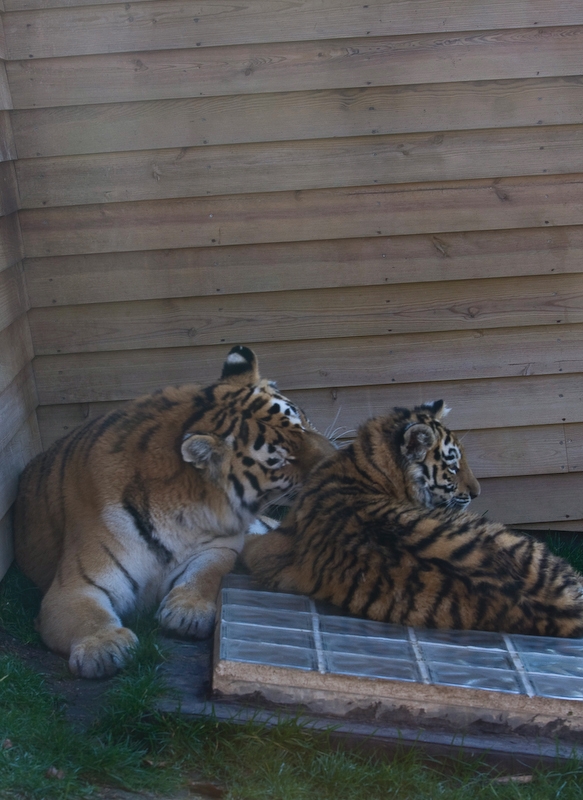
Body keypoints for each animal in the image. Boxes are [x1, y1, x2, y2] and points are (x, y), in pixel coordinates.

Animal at [14, 345, 335, 678]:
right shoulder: (73, 586)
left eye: (303, 422)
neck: (181, 512)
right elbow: (87, 615)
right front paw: (102, 646)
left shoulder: (220, 546)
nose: (335, 460)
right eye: (281, 460)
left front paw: (188, 611)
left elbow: (205, 574)